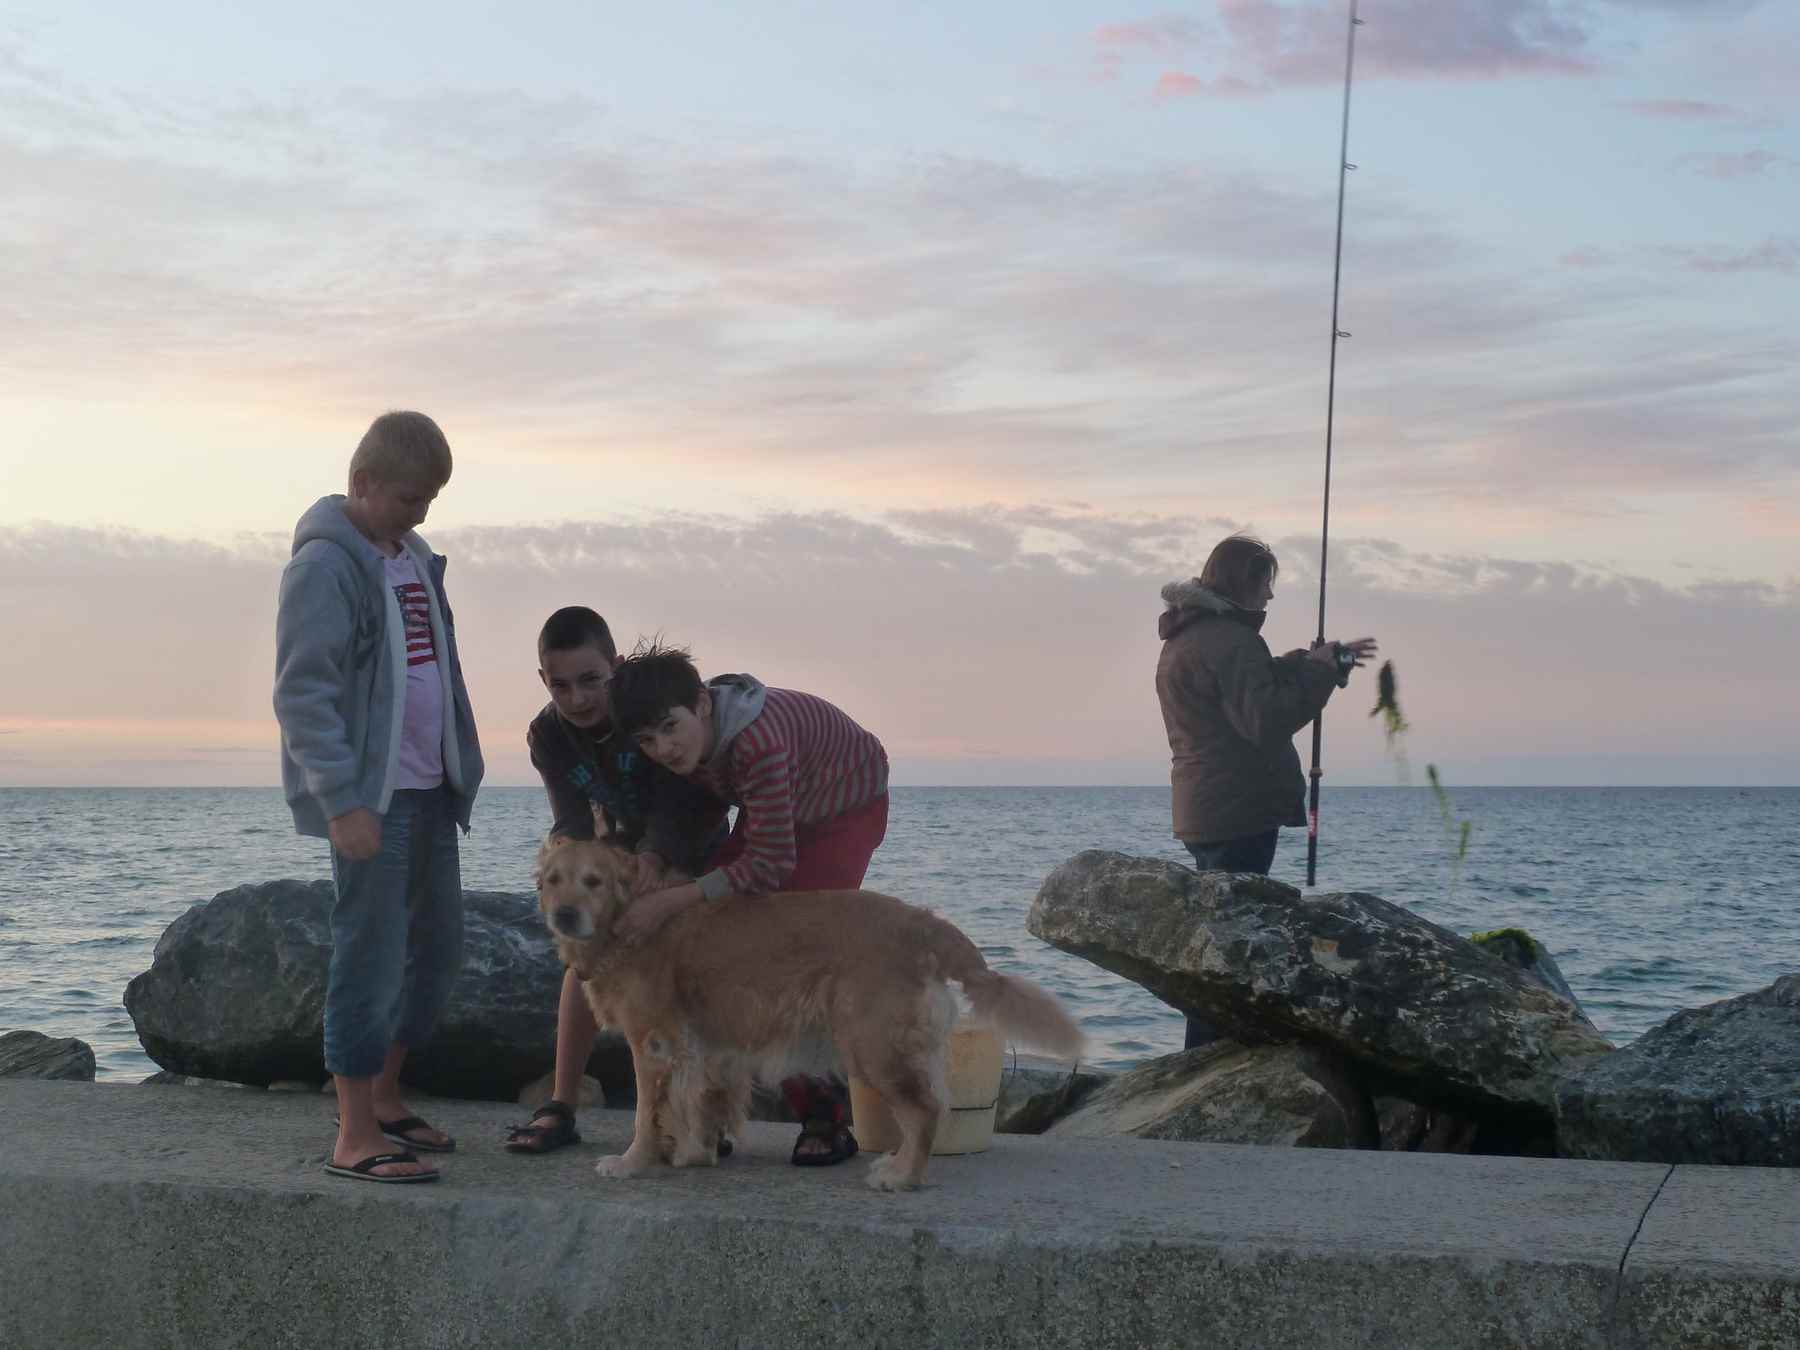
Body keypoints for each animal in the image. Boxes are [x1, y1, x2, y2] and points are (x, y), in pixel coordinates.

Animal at [532, 835, 1080, 1195]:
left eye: (593, 881)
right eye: (553, 881)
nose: (564, 914)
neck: (626, 922)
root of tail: (925, 922)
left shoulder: (652, 1043)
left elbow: (647, 1113)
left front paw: (633, 1163)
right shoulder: (700, 1049)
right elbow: (695, 1103)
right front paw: (694, 1154)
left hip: (872, 1043)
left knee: (924, 1110)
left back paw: (903, 1177)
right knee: (929, 1107)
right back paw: (899, 1165)